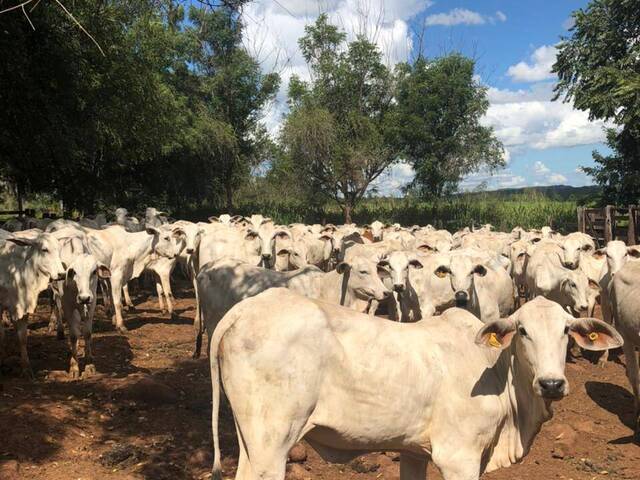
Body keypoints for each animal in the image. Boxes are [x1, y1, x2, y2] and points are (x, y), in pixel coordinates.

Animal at [210, 290, 620, 480]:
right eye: (522, 331)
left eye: (566, 330)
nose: (551, 383)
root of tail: (245, 309)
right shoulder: (459, 457)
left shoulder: (413, 452)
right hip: (271, 444)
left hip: (250, 441)